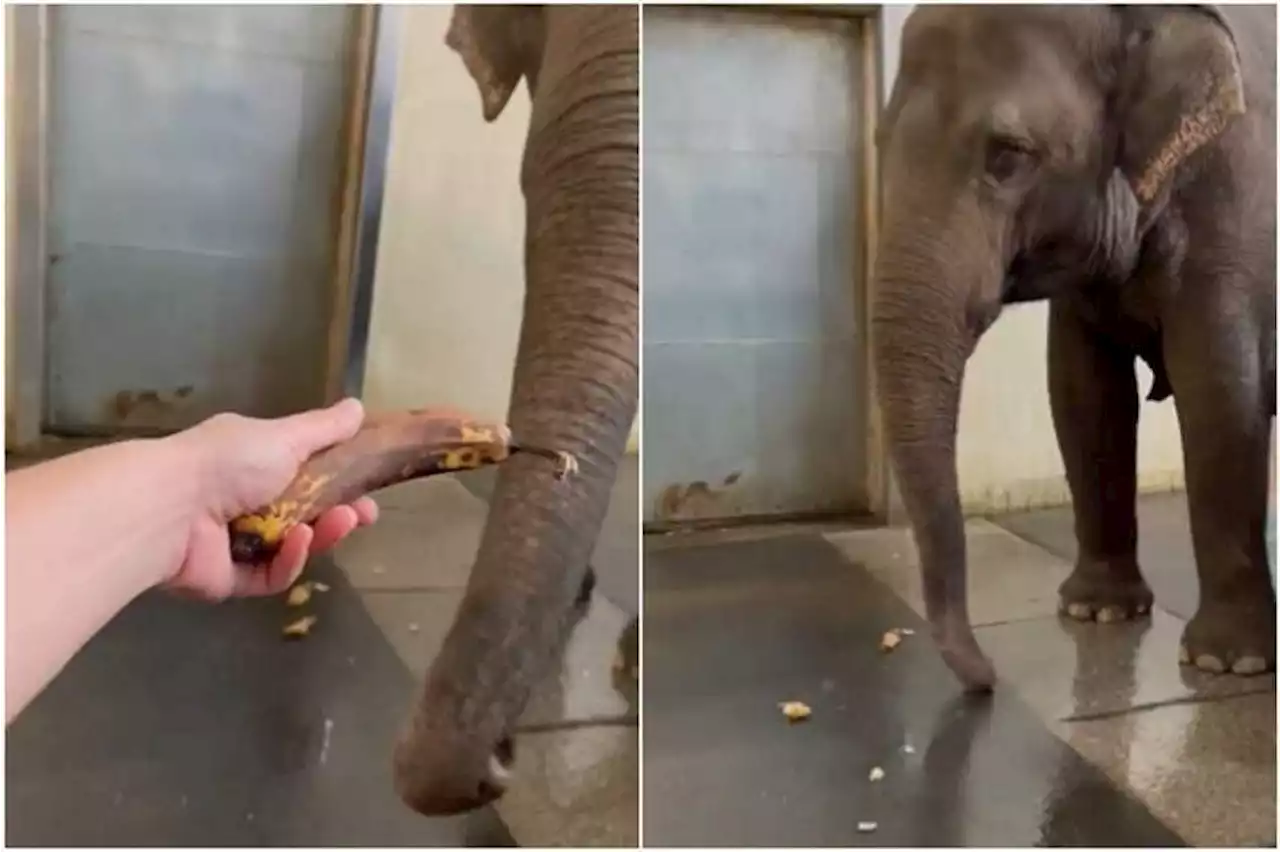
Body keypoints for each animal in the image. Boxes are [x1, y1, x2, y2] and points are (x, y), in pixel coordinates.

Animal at [875, 4, 1274, 690]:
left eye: (1008, 155)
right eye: (880, 140)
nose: (987, 679)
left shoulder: (1234, 213)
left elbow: (1220, 387)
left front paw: (1229, 662)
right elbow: (1082, 390)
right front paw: (1098, 611)